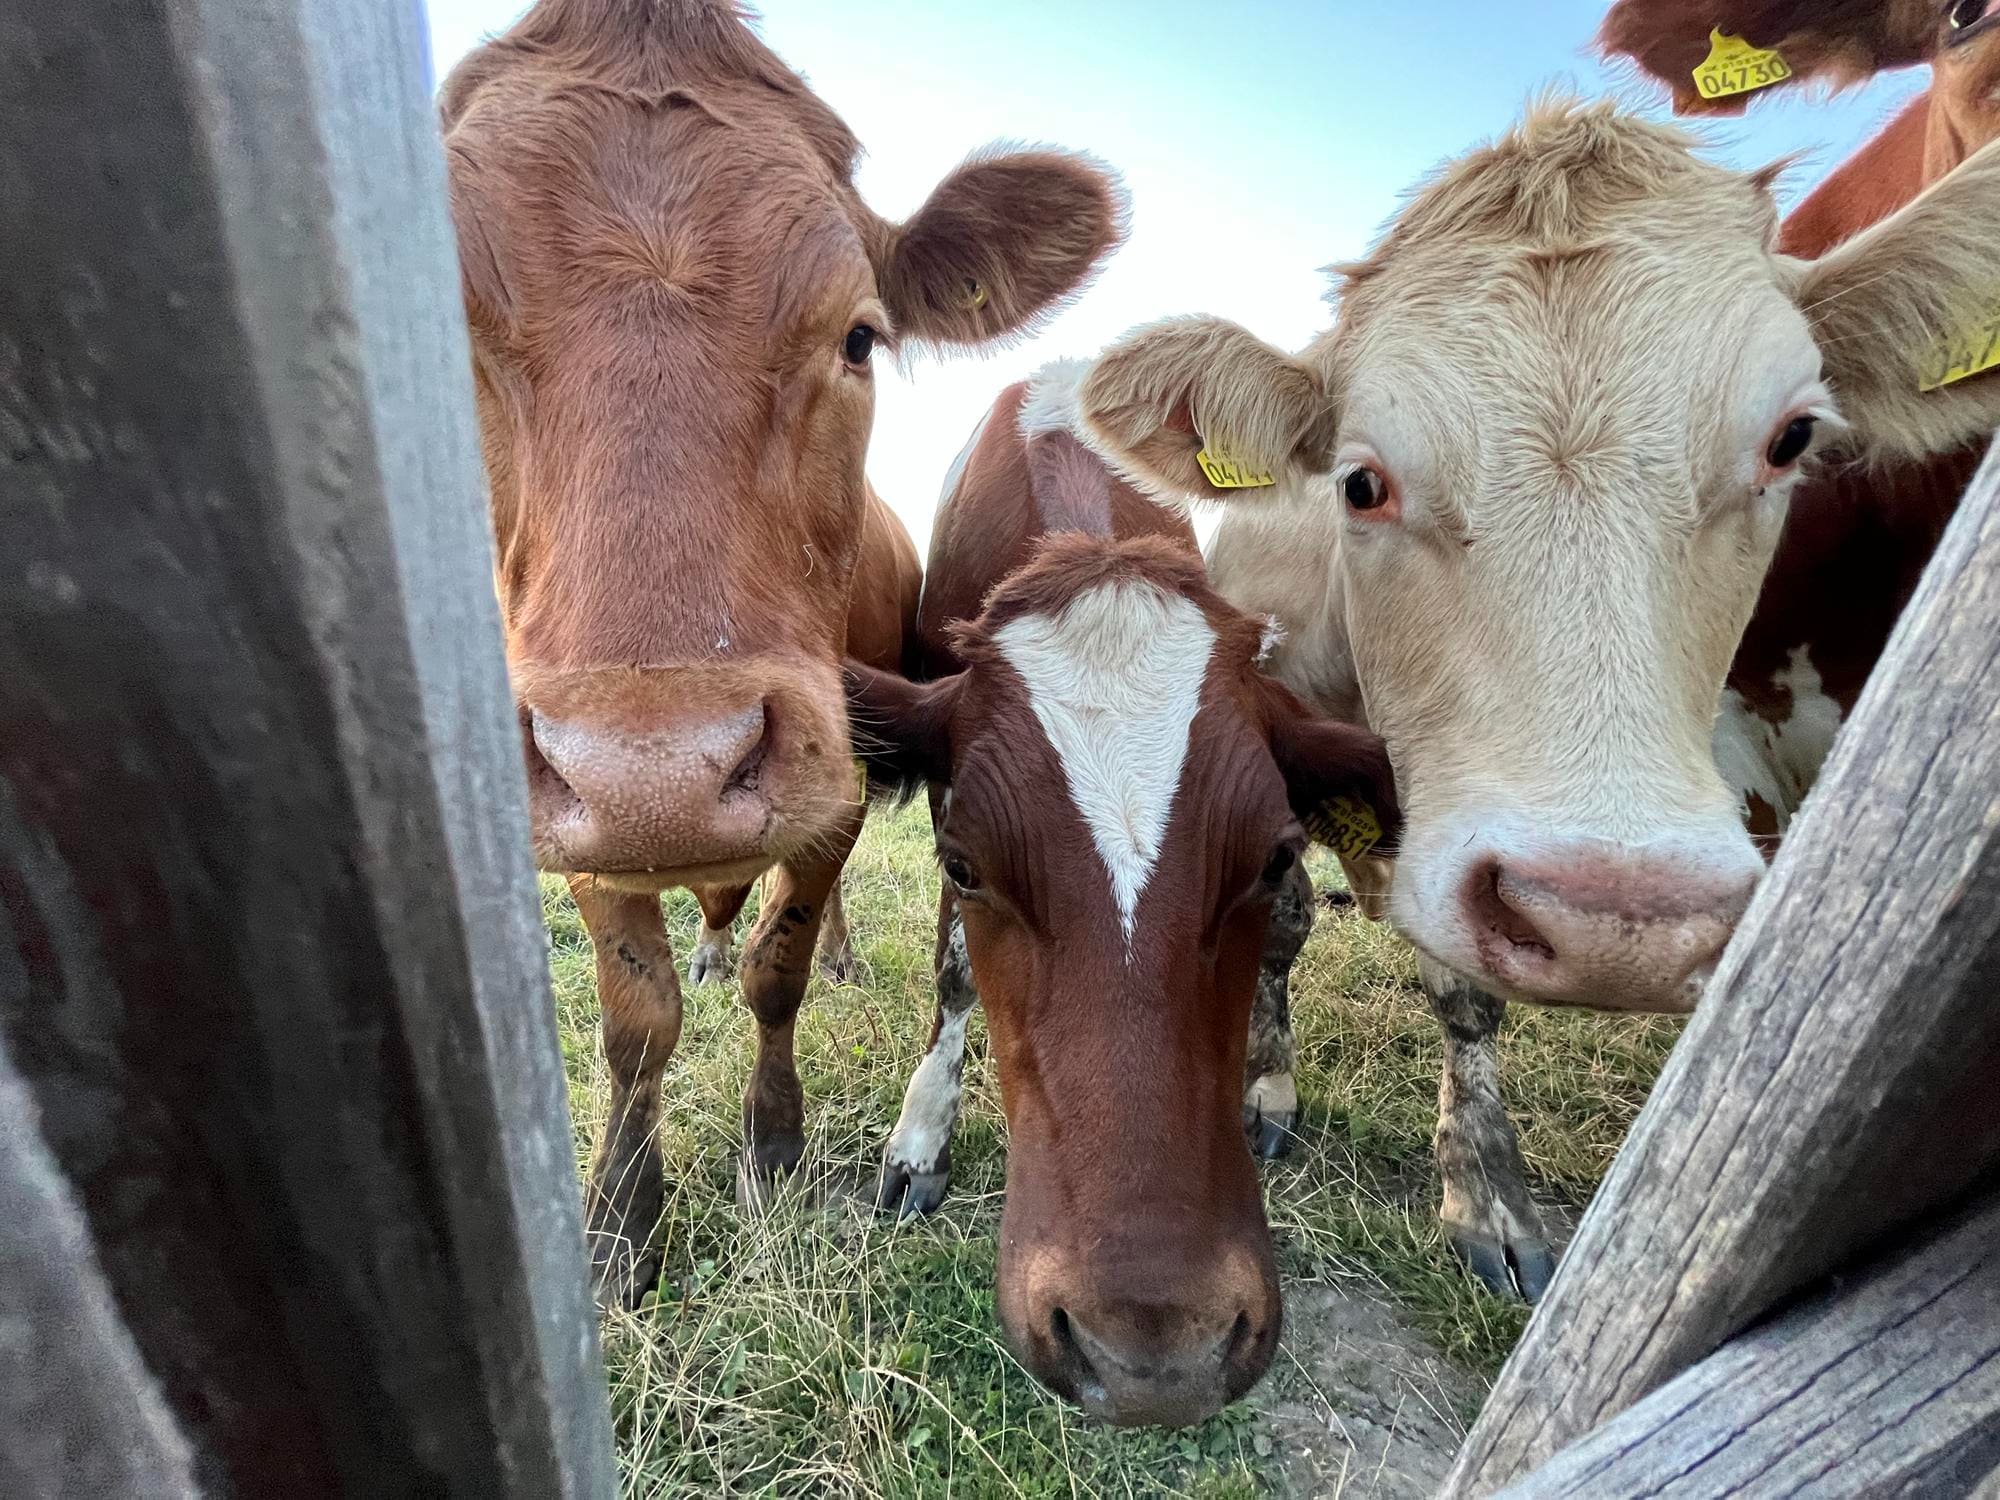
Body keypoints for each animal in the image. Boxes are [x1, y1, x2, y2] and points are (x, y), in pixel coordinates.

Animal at [440, 0, 1128, 1312]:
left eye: (860, 337)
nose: (660, 772)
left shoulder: (836, 776)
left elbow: (783, 966)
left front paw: (773, 1146)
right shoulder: (568, 808)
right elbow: (637, 1015)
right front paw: (622, 1216)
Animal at [1088, 106, 2000, 1304]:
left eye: (1791, 441)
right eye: (1360, 480)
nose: (1613, 916)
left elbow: (1464, 997)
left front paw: (1490, 1201)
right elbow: (1281, 920)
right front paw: (1265, 1093)